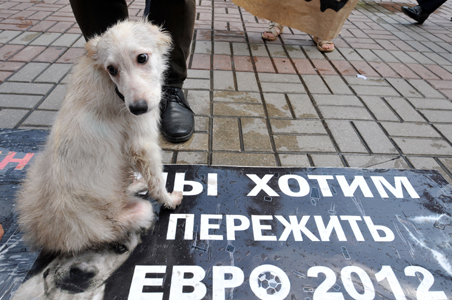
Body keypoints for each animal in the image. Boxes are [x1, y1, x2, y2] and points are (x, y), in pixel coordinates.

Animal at [16, 19, 182, 253]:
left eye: (142, 58)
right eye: (111, 69)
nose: (138, 108)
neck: (111, 85)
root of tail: (53, 238)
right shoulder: (142, 143)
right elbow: (156, 180)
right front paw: (169, 200)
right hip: (137, 212)